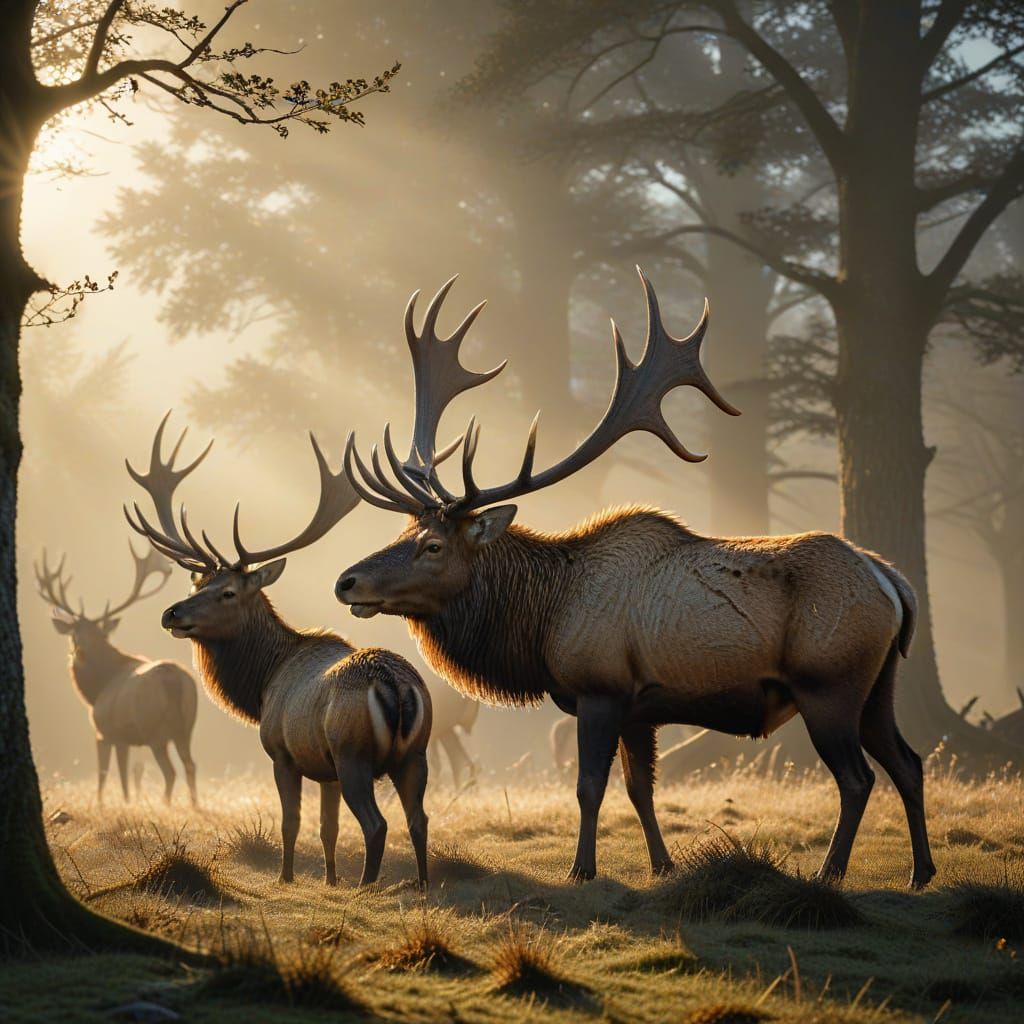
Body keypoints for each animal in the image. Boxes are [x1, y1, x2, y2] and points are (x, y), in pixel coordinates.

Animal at [35, 545, 199, 807]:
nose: (80, 652)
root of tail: (173, 683)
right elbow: (125, 774)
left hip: (155, 729)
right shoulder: (125, 738)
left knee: (170, 771)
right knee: (190, 765)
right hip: (187, 725)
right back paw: (193, 805)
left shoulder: (106, 731)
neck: (94, 692)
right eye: (74, 633)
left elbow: (107, 774)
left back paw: (165, 805)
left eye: (99, 634)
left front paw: (106, 805)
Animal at [124, 414, 431, 887]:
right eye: (198, 585)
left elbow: (291, 822)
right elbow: (327, 827)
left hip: (353, 753)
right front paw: (329, 881)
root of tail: (396, 687)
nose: (171, 613)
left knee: (377, 823)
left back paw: (367, 886)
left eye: (228, 592)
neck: (264, 683)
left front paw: (287, 878)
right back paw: (422, 885)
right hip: (415, 754)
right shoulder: (324, 768)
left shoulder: (283, 754)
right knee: (419, 819)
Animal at [334, 268, 935, 889]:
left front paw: (581, 869)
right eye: (405, 531)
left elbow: (589, 787)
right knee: (909, 762)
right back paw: (921, 871)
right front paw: (663, 864)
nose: (347, 581)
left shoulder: (601, 689)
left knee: (858, 778)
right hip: (877, 684)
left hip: (829, 683)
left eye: (432, 545)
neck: (543, 621)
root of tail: (893, 582)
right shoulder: (640, 709)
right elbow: (640, 788)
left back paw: (829, 873)